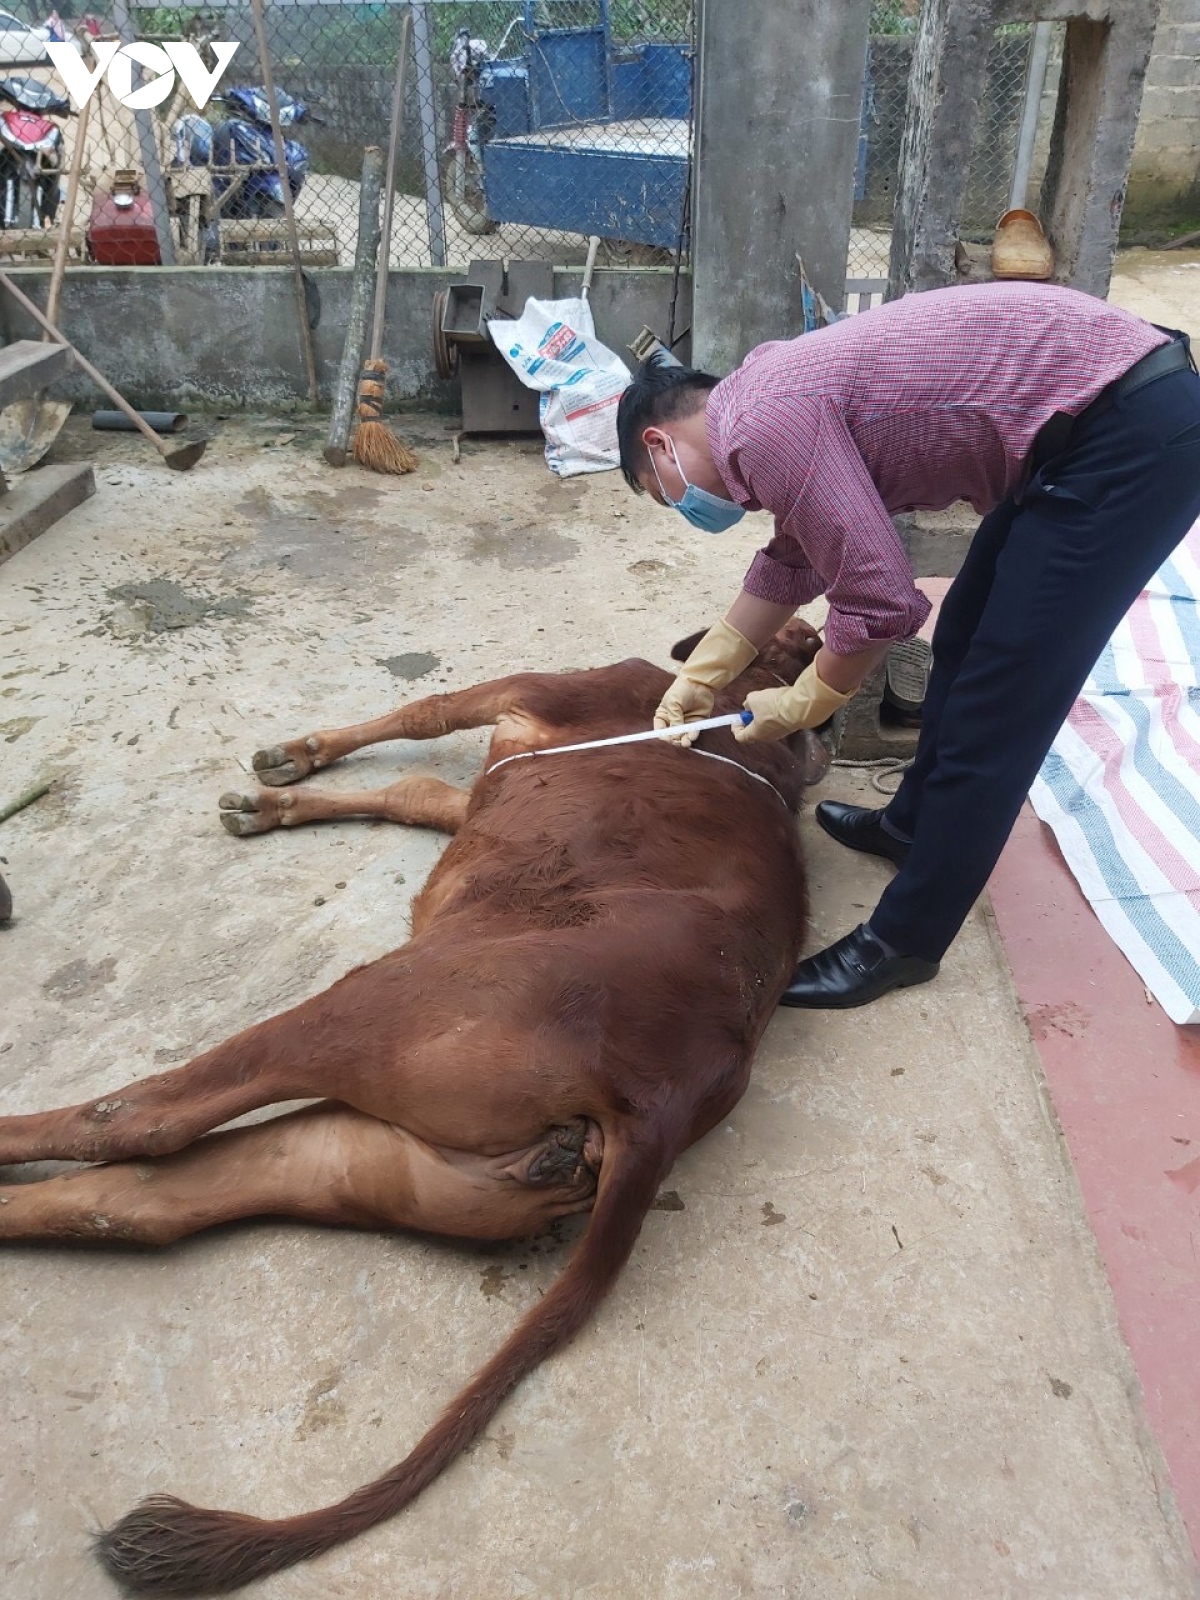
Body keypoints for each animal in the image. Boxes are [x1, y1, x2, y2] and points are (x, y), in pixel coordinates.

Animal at [0, 617, 825, 1593]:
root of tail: (666, 1100)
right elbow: (420, 788)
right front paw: (276, 796)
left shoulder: (535, 689)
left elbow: (424, 716)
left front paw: (288, 765)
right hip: (378, 1162)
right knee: (144, 1202)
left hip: (366, 1011)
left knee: (139, 1119)